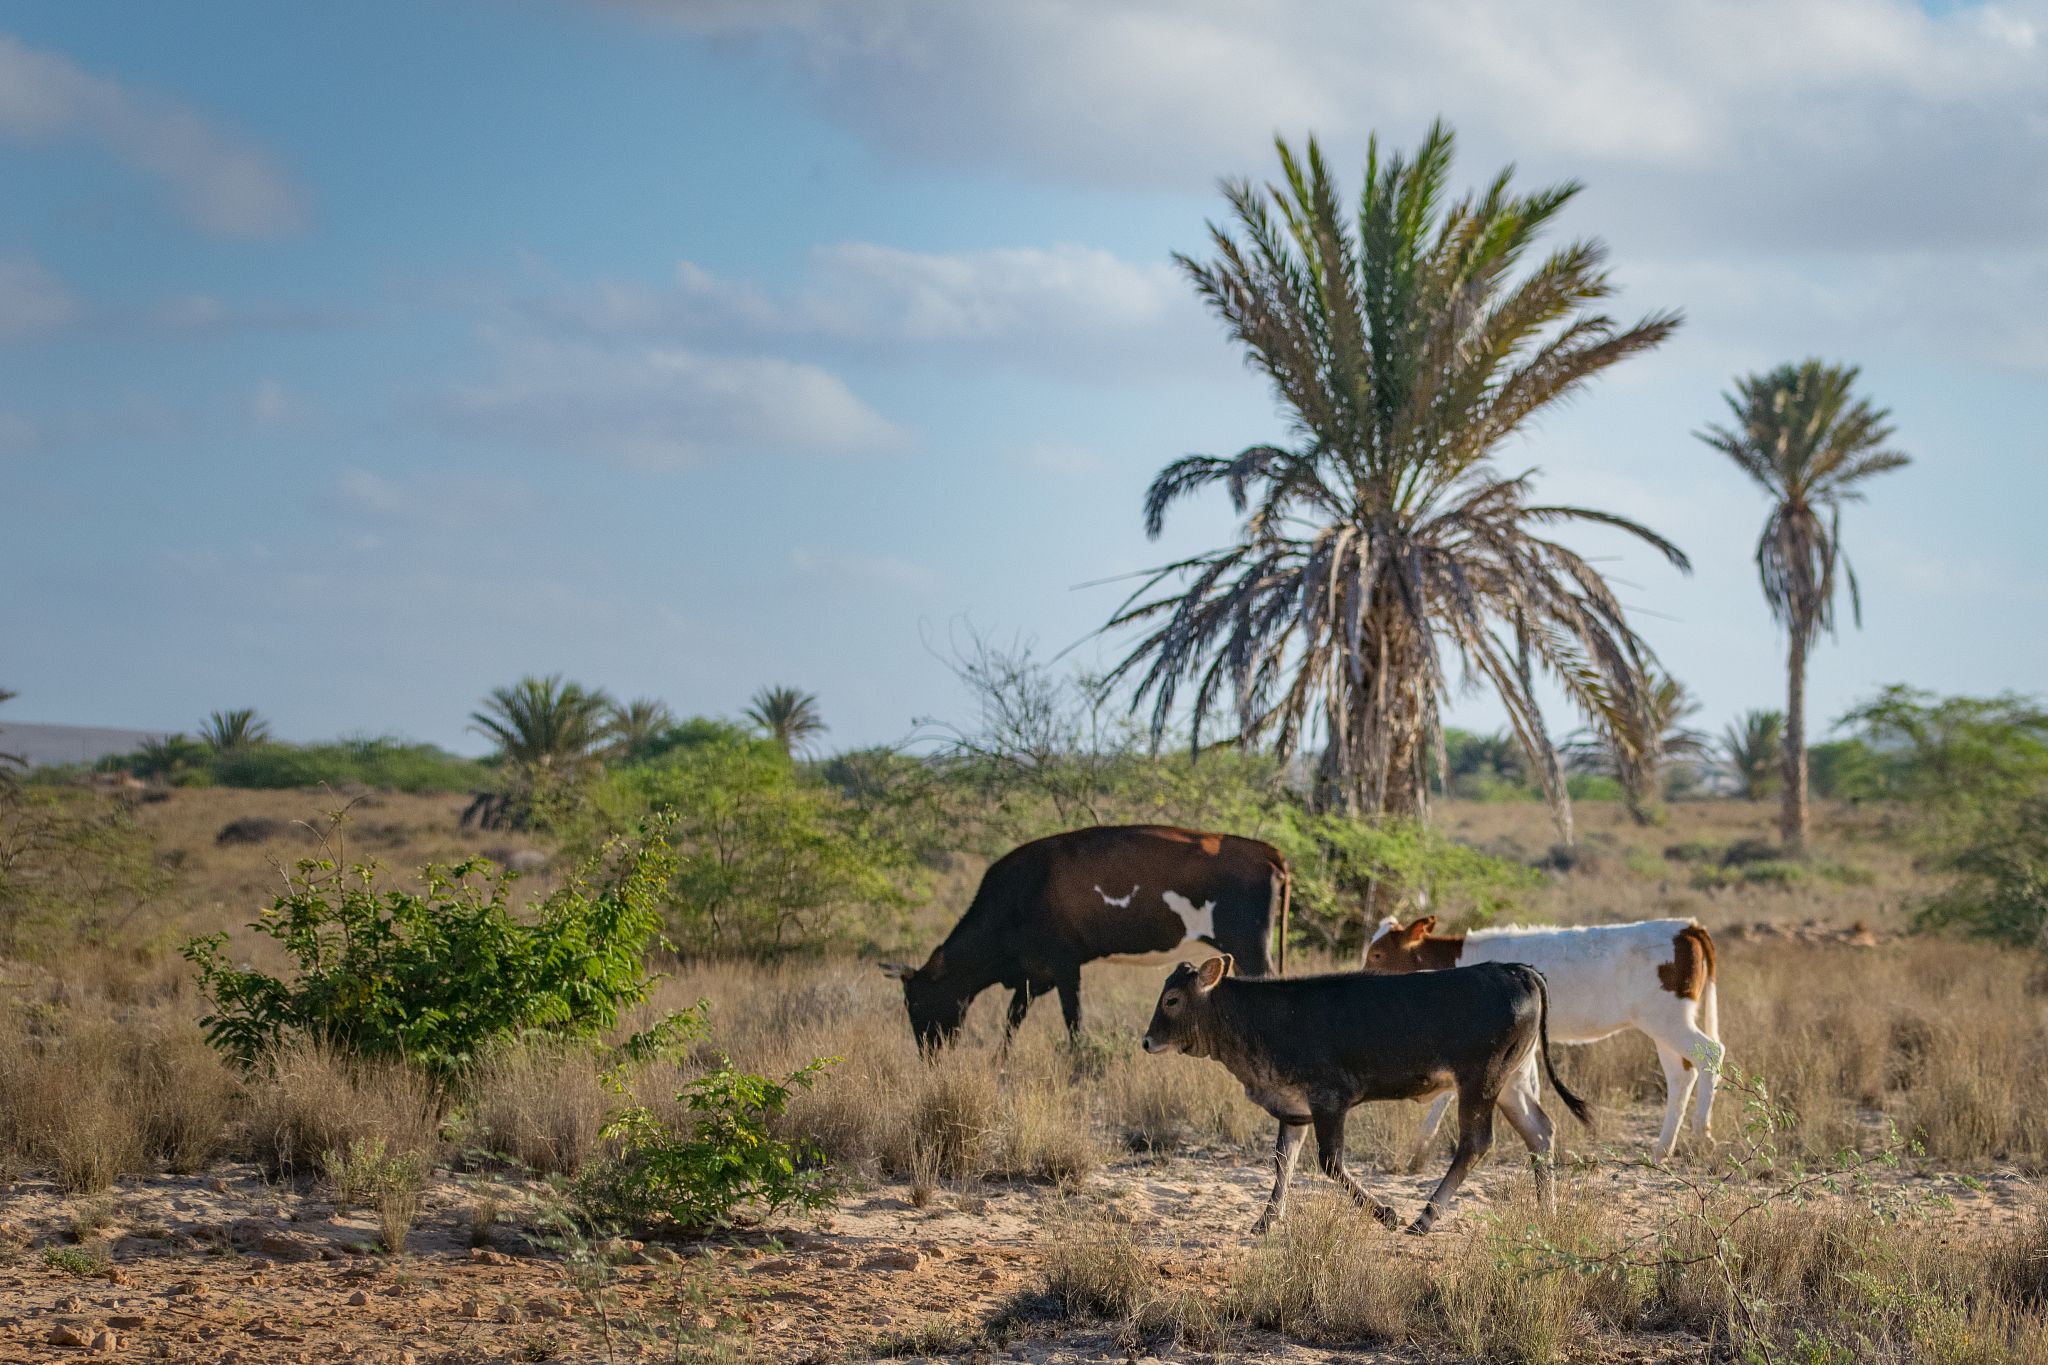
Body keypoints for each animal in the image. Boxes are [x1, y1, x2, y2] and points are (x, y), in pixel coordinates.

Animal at [879, 825, 1290, 1051]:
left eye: (913, 1003)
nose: (927, 1055)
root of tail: (1267, 850)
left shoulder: (1064, 964)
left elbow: (1072, 1018)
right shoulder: (1034, 974)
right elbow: (1013, 1020)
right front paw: (1000, 1063)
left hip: (1251, 951)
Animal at [1142, 954, 1591, 1236]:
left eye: (1173, 999)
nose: (1146, 1042)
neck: (1261, 1018)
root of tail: (1517, 970)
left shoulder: (1330, 1100)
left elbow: (1329, 1162)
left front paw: (1386, 1214)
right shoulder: (1293, 1109)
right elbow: (1283, 1163)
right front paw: (1265, 1222)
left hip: (1481, 1080)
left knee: (1477, 1142)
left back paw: (1423, 1219)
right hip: (1512, 1080)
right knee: (1540, 1131)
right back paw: (1547, 1212)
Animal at [1363, 916, 1723, 1163]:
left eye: (1377, 955)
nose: (1361, 979)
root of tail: (1684, 926)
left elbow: (1447, 1095)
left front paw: (1420, 1148)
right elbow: (1532, 1088)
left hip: (1669, 1021)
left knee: (1711, 1054)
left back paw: (1702, 1135)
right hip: (1662, 1028)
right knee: (1681, 1075)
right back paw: (1663, 1149)